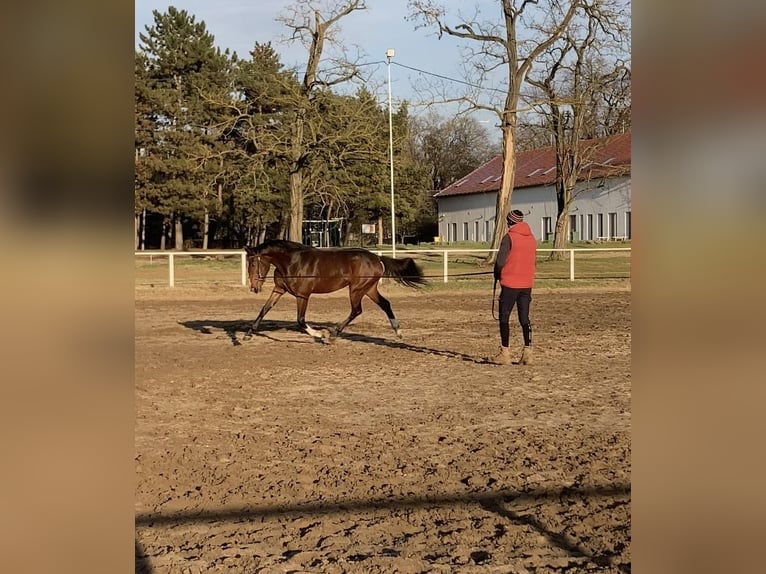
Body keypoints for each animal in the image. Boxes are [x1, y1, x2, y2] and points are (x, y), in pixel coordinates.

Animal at [244, 240, 426, 342]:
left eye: (253, 264)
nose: (254, 288)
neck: (292, 262)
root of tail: (377, 258)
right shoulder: (279, 289)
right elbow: (264, 309)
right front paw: (248, 334)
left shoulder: (303, 295)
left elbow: (300, 320)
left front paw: (320, 335)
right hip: (369, 289)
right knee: (385, 304)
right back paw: (398, 332)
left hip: (356, 289)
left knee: (356, 310)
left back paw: (333, 334)